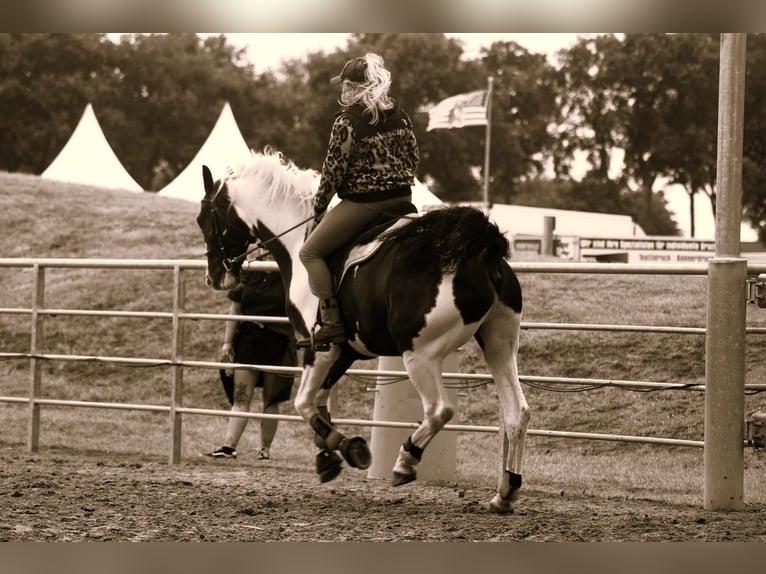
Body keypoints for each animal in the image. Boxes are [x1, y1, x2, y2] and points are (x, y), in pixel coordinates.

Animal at [196, 149, 529, 514]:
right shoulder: (343, 352)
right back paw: (506, 492)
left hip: (421, 355)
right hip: (499, 347)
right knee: (517, 413)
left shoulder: (317, 349)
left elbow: (303, 403)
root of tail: (481, 253)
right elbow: (319, 404)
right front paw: (330, 453)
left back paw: (405, 461)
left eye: (204, 218)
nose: (215, 277)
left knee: (440, 410)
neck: (298, 242)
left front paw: (345, 449)